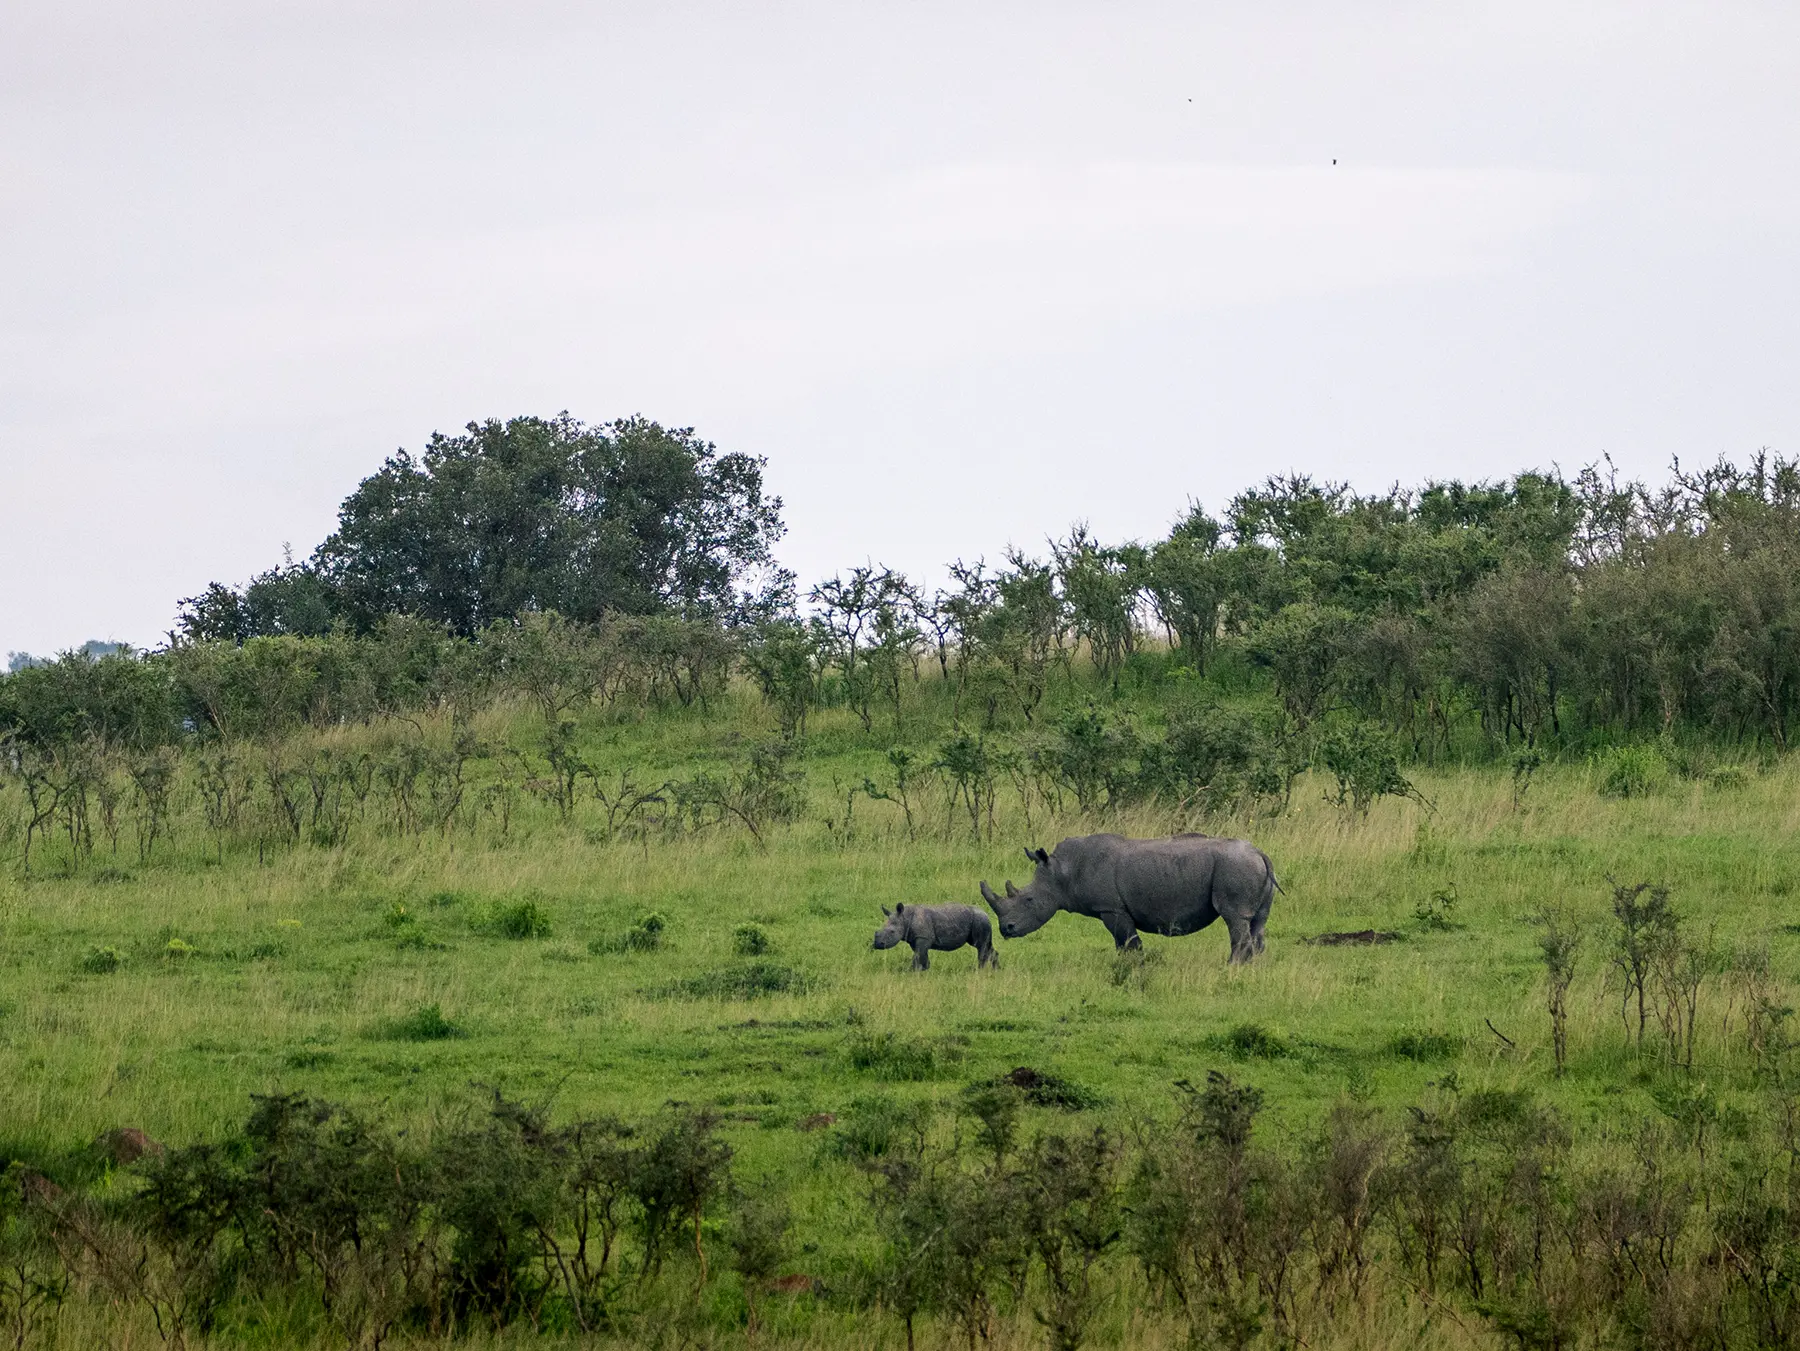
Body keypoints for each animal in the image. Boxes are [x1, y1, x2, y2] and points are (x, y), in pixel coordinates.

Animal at [979, 833, 1280, 964]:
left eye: (1028, 900)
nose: (1006, 929)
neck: (1062, 872)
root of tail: (1259, 852)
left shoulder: (1111, 908)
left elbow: (1128, 941)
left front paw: (1132, 966)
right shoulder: (1112, 909)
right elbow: (1120, 943)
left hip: (1235, 867)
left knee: (1234, 918)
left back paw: (1230, 968)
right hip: (1247, 867)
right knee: (1257, 921)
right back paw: (1254, 967)